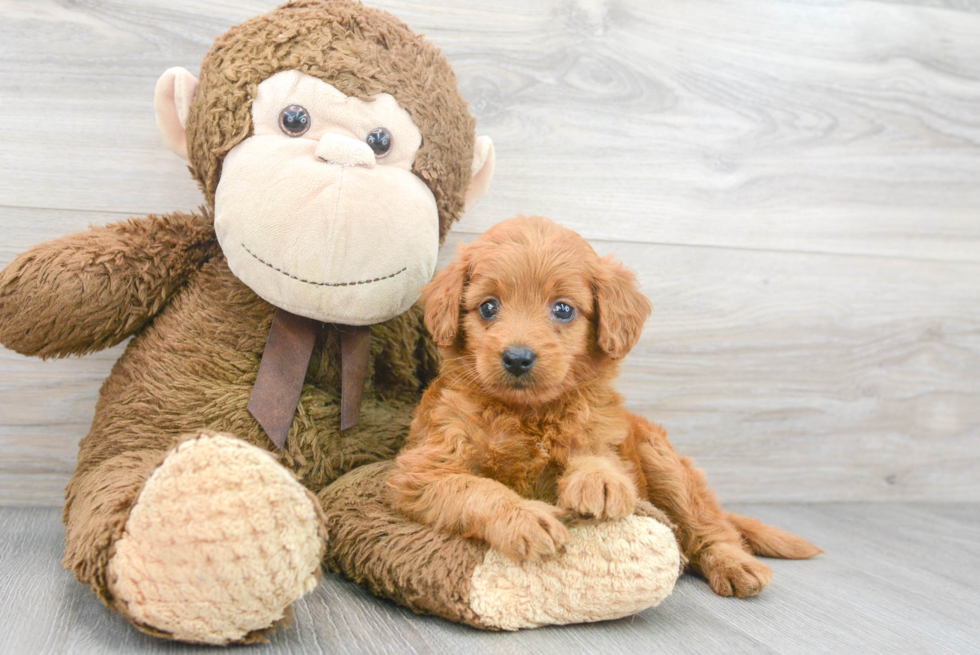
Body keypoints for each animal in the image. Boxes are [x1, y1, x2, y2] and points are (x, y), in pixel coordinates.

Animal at [390, 217, 820, 600]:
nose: (517, 358)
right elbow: (476, 488)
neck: (529, 412)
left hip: (665, 463)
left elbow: (596, 455)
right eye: (488, 307)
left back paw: (735, 564)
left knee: (710, 527)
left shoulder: (604, 434)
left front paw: (599, 481)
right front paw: (525, 518)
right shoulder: (426, 467)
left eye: (563, 309)